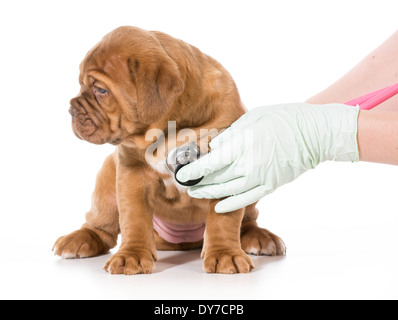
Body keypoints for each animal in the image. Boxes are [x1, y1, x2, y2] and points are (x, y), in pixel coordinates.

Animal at [53, 26, 286, 274]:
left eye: (100, 90)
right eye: (81, 84)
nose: (71, 110)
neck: (169, 129)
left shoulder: (225, 170)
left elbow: (223, 219)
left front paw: (225, 254)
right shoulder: (132, 173)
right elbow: (134, 217)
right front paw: (131, 255)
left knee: (247, 220)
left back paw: (259, 237)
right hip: (107, 175)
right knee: (102, 225)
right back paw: (80, 238)